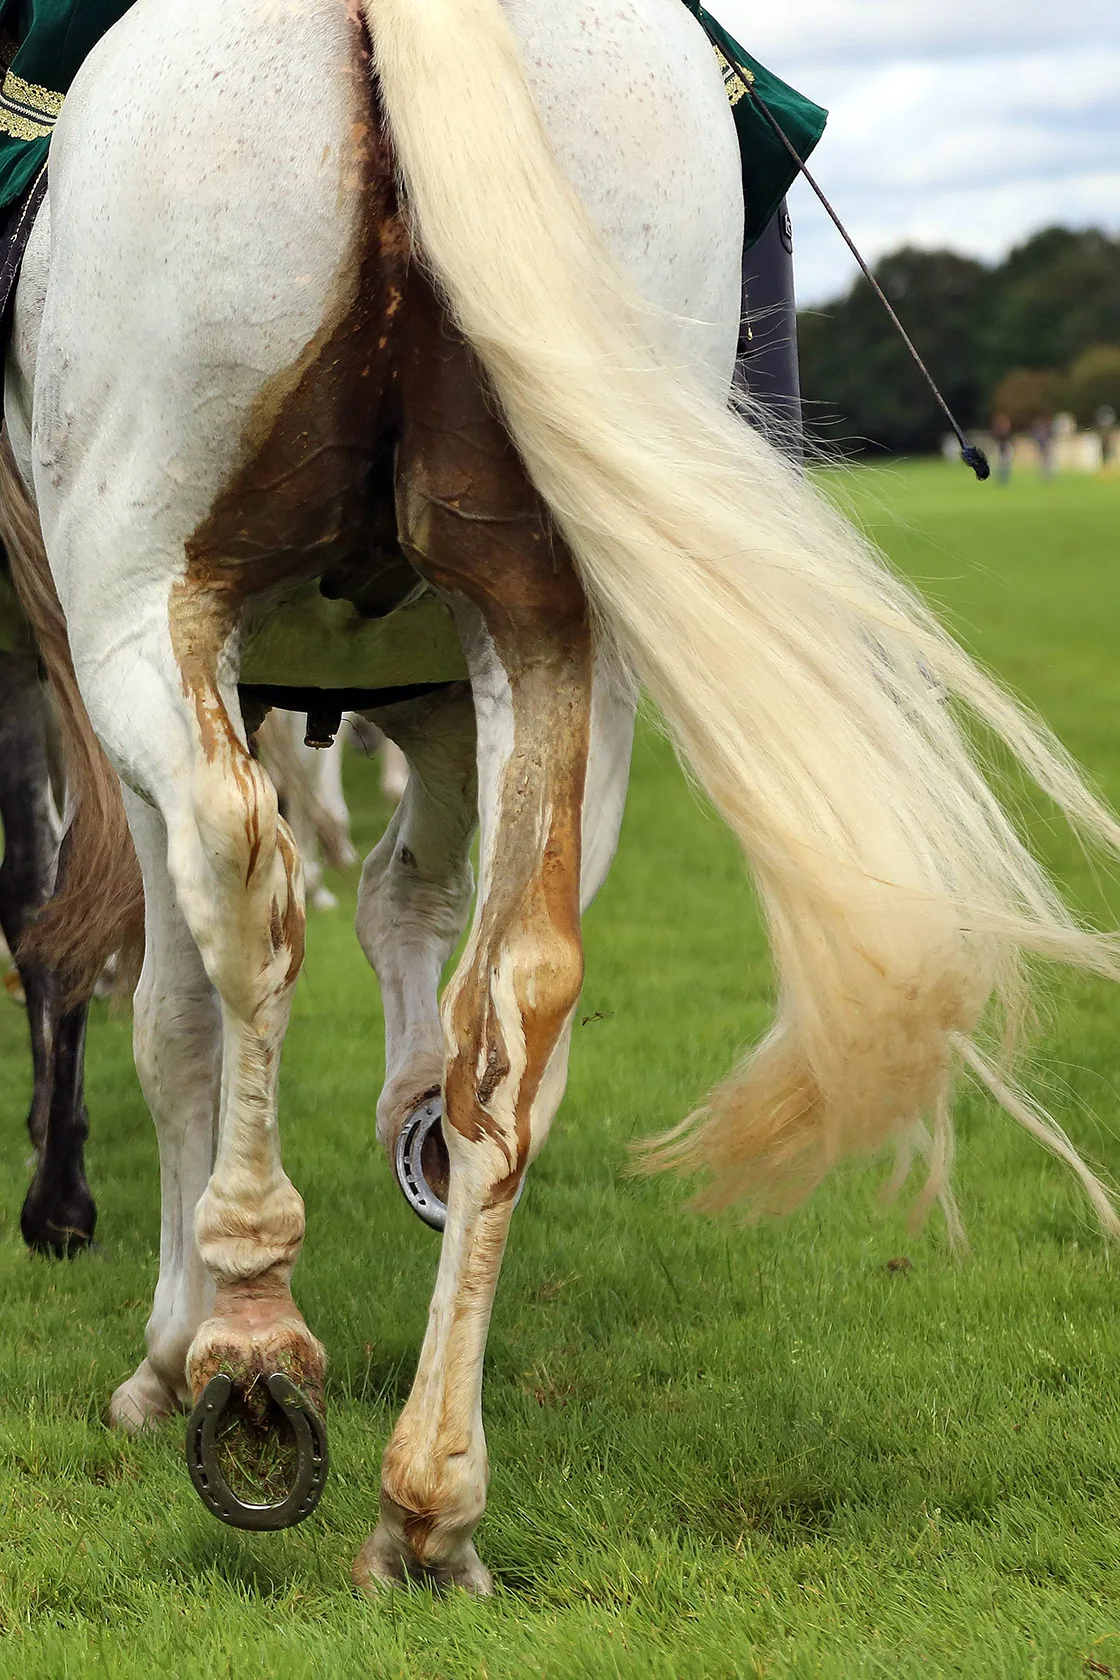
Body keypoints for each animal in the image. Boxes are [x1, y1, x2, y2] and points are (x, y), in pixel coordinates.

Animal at [2, 0, 1120, 1585]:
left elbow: (175, 1013)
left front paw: (169, 1344)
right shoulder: (442, 699)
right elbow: (413, 914)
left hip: (149, 605)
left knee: (240, 897)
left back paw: (250, 1349)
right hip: (552, 635)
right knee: (520, 1008)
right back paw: (428, 1499)